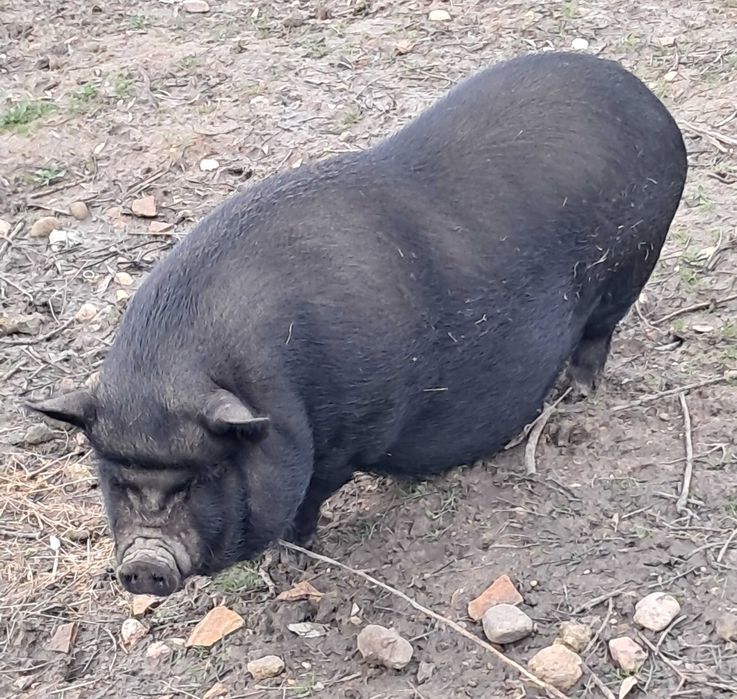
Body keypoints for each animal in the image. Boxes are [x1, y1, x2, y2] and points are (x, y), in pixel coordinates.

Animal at [27, 51, 687, 596]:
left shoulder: (349, 437)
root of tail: (652, 103)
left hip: (632, 264)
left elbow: (307, 500)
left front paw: (287, 560)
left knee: (599, 334)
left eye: (206, 474)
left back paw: (579, 394)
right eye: (112, 475)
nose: (145, 563)